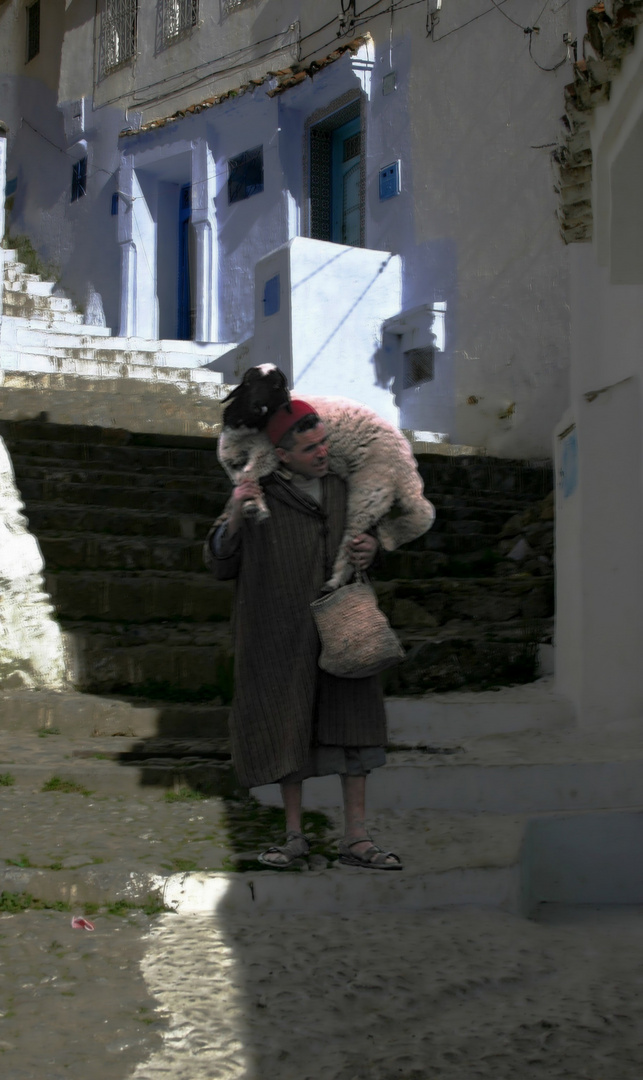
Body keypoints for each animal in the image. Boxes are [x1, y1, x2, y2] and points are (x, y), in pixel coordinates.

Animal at [217, 365, 438, 591]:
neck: (249, 429)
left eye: (277, 385)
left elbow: (249, 474)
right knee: (422, 512)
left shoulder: (266, 450)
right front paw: (249, 502)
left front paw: (255, 507)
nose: (257, 408)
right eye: (248, 382)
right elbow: (239, 477)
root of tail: (406, 462)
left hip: (370, 488)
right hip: (380, 491)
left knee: (359, 533)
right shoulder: (230, 454)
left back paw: (336, 579)